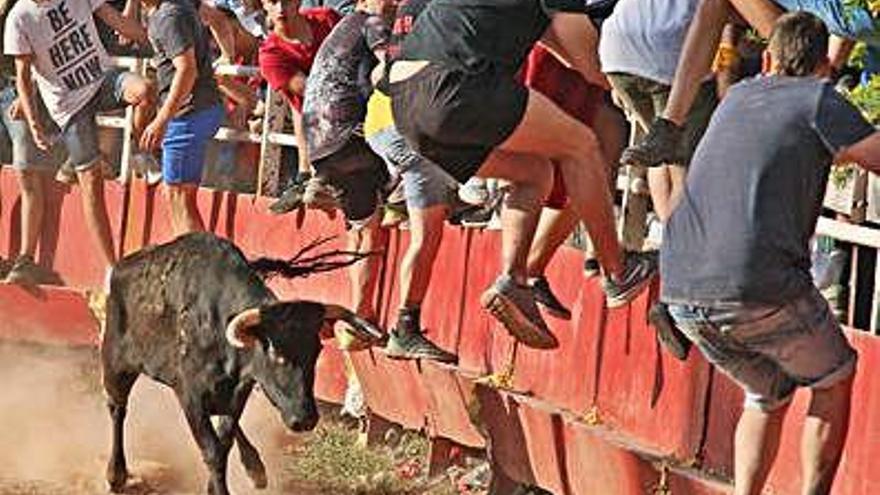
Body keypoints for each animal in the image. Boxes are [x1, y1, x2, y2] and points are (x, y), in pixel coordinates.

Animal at [99, 233, 382, 495]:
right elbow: (212, 450)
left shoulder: (238, 390)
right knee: (117, 409)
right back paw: (116, 474)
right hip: (115, 364)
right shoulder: (191, 396)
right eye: (275, 353)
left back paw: (256, 469)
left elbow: (224, 441)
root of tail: (121, 267)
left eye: (316, 351)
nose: (305, 419)